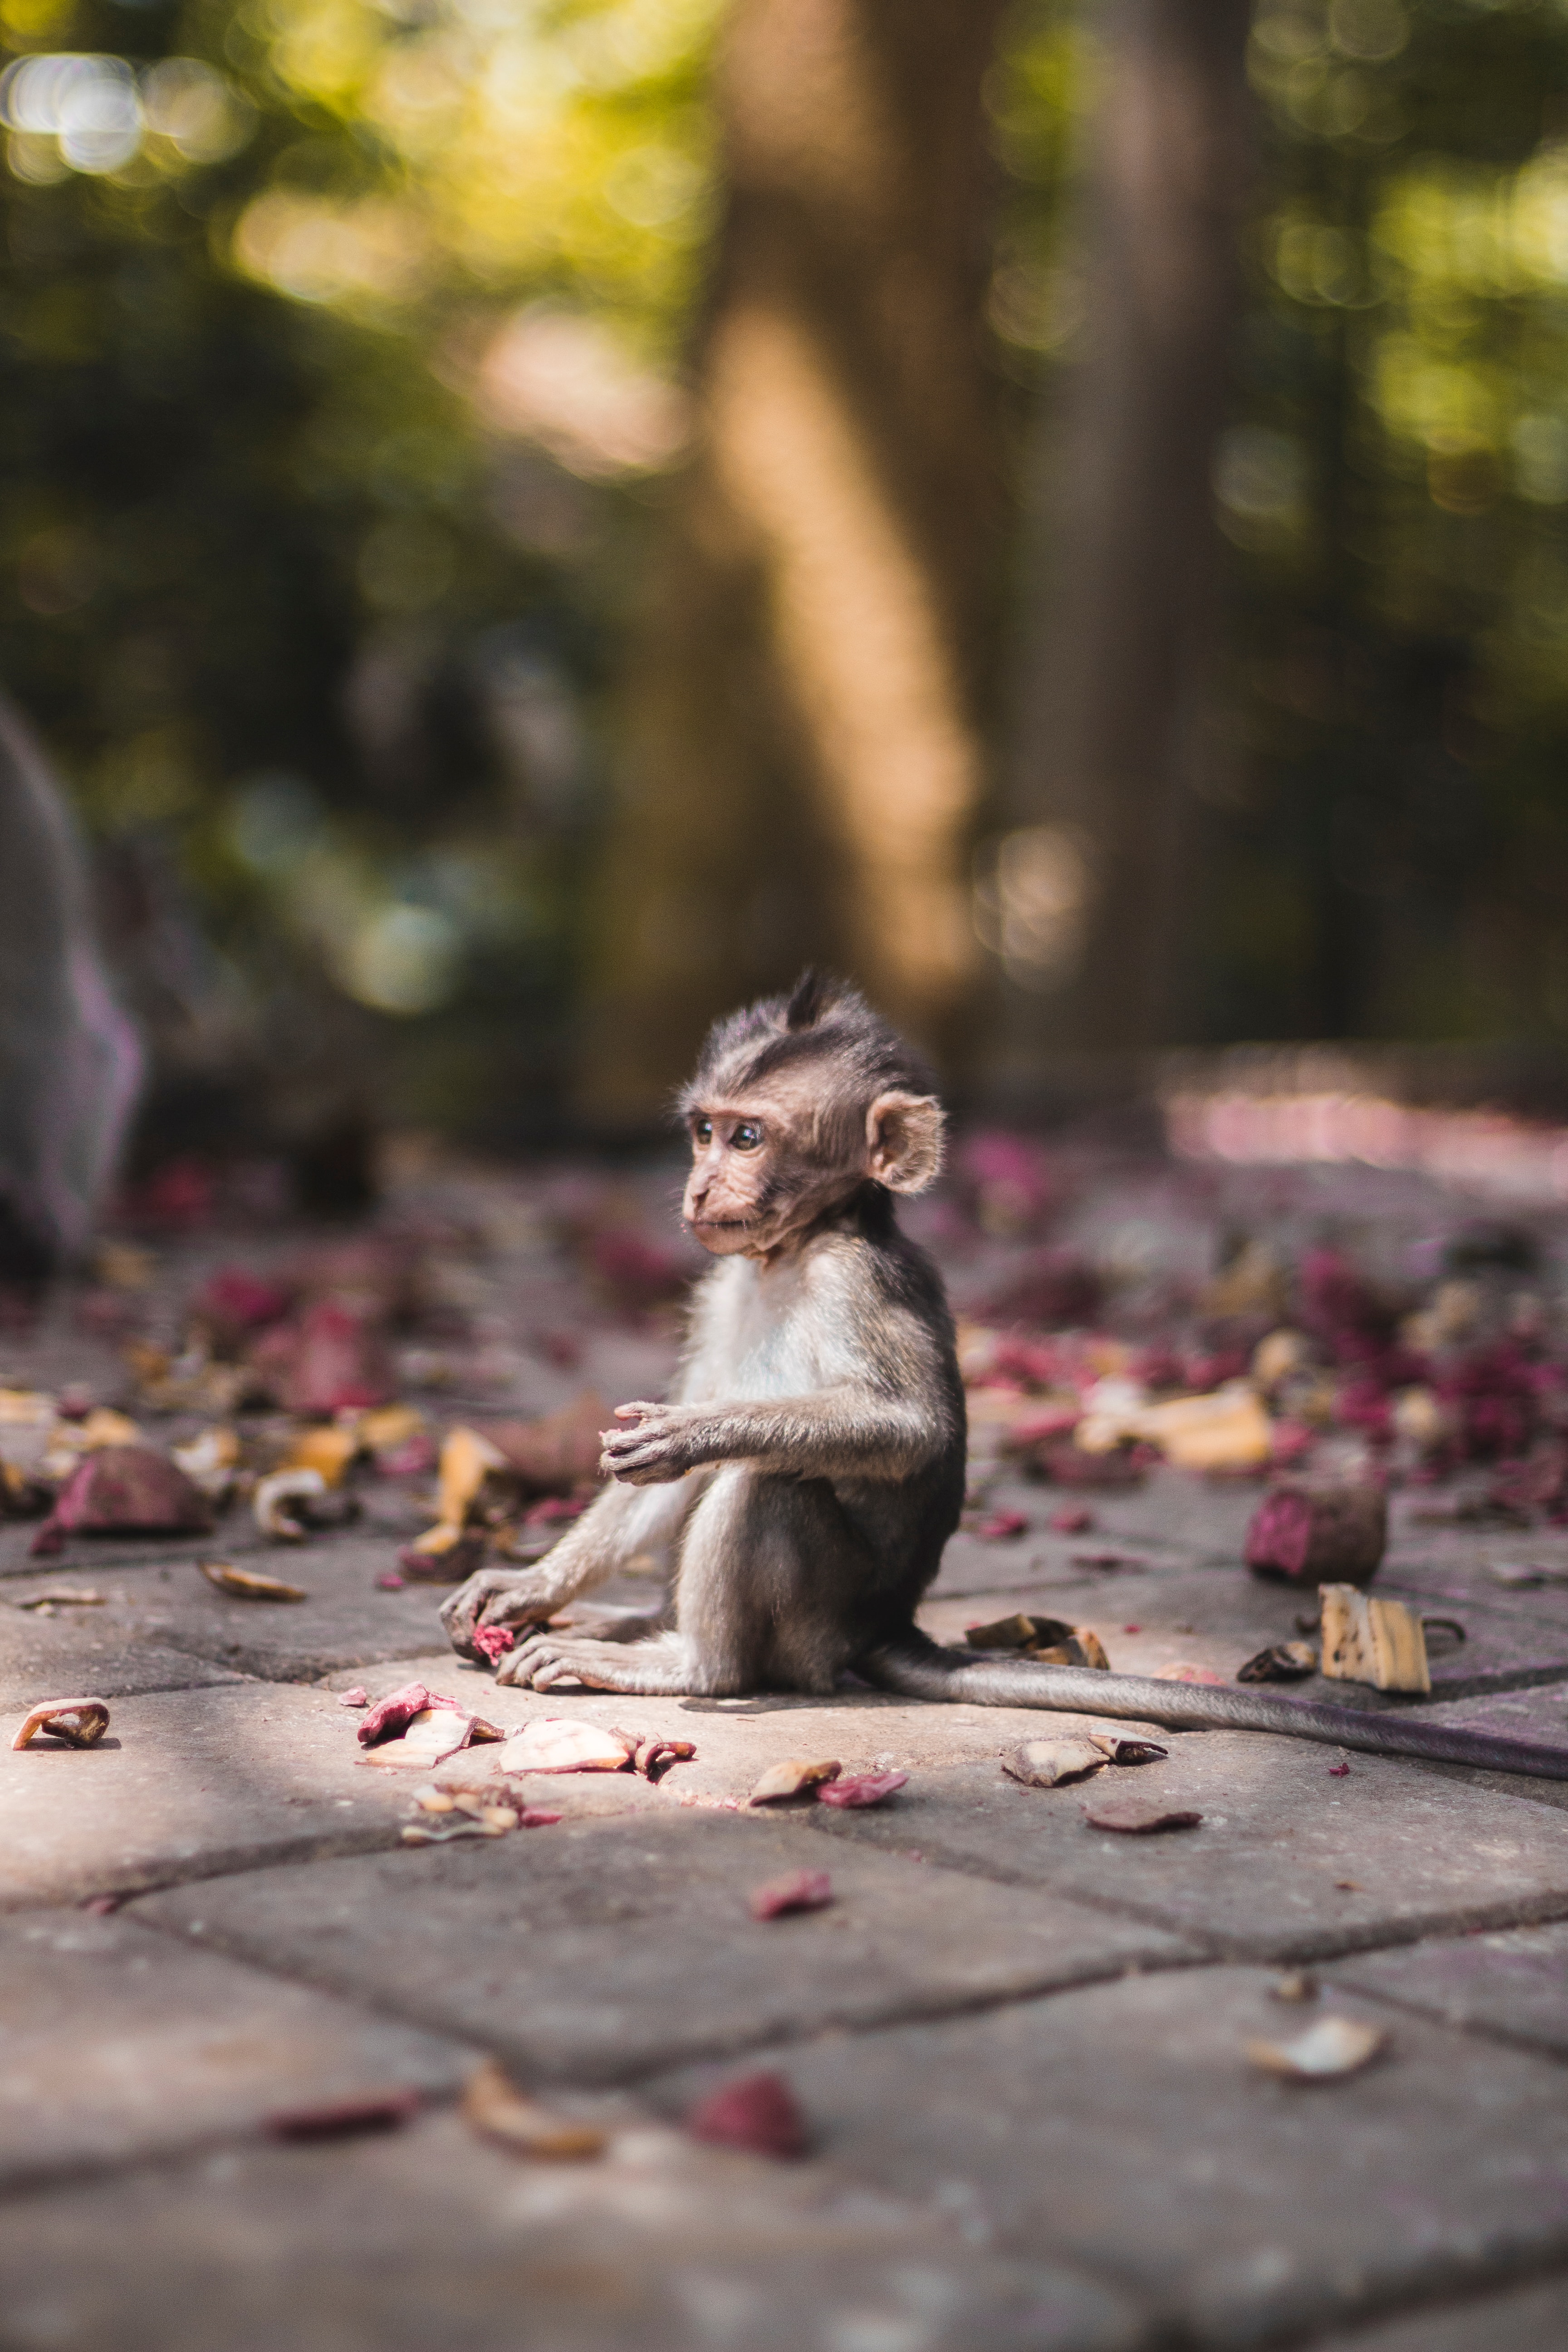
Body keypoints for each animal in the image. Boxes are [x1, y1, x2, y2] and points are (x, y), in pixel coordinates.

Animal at [439, 974, 1568, 1778]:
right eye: (703, 1131)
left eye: (749, 1137)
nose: (700, 1186)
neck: (796, 1250)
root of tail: (887, 1622)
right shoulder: (722, 1283)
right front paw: (528, 1580)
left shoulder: (858, 1281)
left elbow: (906, 1432)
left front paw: (694, 1436)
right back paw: (628, 1622)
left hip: (818, 1621)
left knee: (769, 1485)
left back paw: (684, 1662)